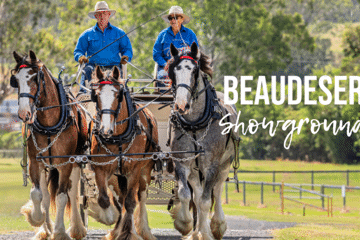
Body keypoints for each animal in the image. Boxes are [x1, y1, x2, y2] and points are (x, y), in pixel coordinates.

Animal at [11, 49, 88, 239]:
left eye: (34, 78)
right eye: (16, 80)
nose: (24, 113)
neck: (49, 125)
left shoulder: (65, 163)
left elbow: (62, 197)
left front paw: (60, 231)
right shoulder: (35, 161)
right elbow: (37, 195)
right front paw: (36, 219)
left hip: (76, 162)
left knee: (72, 192)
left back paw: (77, 228)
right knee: (46, 195)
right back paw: (45, 229)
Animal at [88, 66, 158, 240]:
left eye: (118, 95)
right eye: (96, 95)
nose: (105, 130)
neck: (117, 137)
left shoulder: (134, 170)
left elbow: (131, 202)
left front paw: (127, 233)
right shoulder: (101, 168)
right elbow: (105, 200)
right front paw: (110, 220)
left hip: (145, 170)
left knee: (140, 197)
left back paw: (143, 230)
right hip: (117, 176)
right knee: (120, 198)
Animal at [167, 43, 240, 240]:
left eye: (194, 71)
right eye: (173, 71)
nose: (181, 105)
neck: (194, 123)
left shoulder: (211, 165)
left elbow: (207, 201)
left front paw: (207, 233)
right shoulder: (182, 162)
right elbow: (185, 194)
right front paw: (184, 224)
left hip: (224, 164)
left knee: (217, 190)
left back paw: (216, 226)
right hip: (194, 169)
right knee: (197, 195)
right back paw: (197, 230)